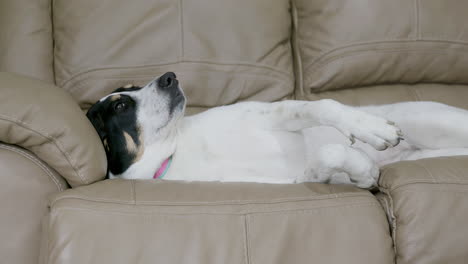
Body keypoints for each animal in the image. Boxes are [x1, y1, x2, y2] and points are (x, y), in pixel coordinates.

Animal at [86, 72, 468, 188]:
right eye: (120, 106)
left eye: (134, 87)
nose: (170, 76)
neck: (175, 151)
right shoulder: (294, 180)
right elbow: (328, 156)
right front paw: (363, 171)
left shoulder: (273, 112)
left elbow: (323, 106)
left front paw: (370, 129)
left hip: (433, 121)